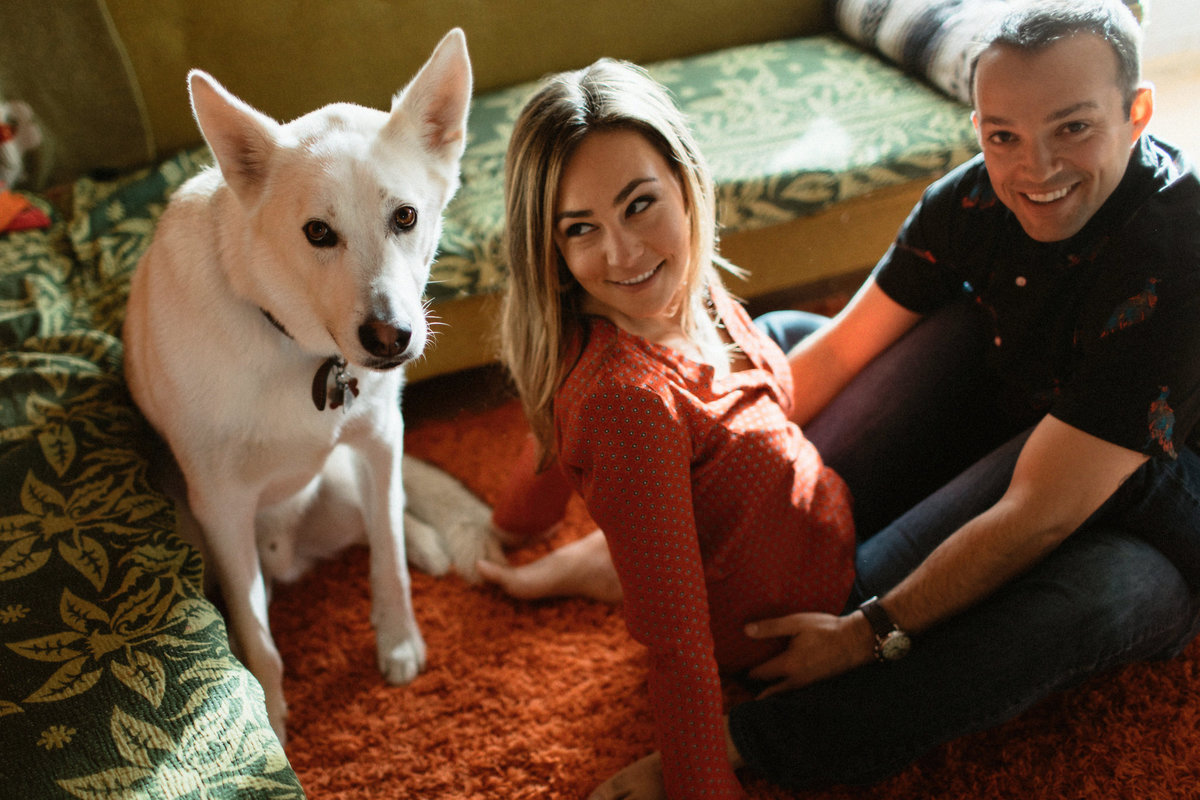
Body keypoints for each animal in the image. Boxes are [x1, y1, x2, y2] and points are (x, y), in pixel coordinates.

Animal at [121, 29, 496, 743]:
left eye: (406, 217)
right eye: (318, 232)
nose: (390, 338)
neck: (298, 348)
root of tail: (289, 554)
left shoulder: (380, 442)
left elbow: (388, 559)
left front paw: (399, 640)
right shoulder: (222, 507)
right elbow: (258, 638)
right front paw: (270, 719)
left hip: (345, 486)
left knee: (386, 521)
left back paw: (428, 545)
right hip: (209, 538)